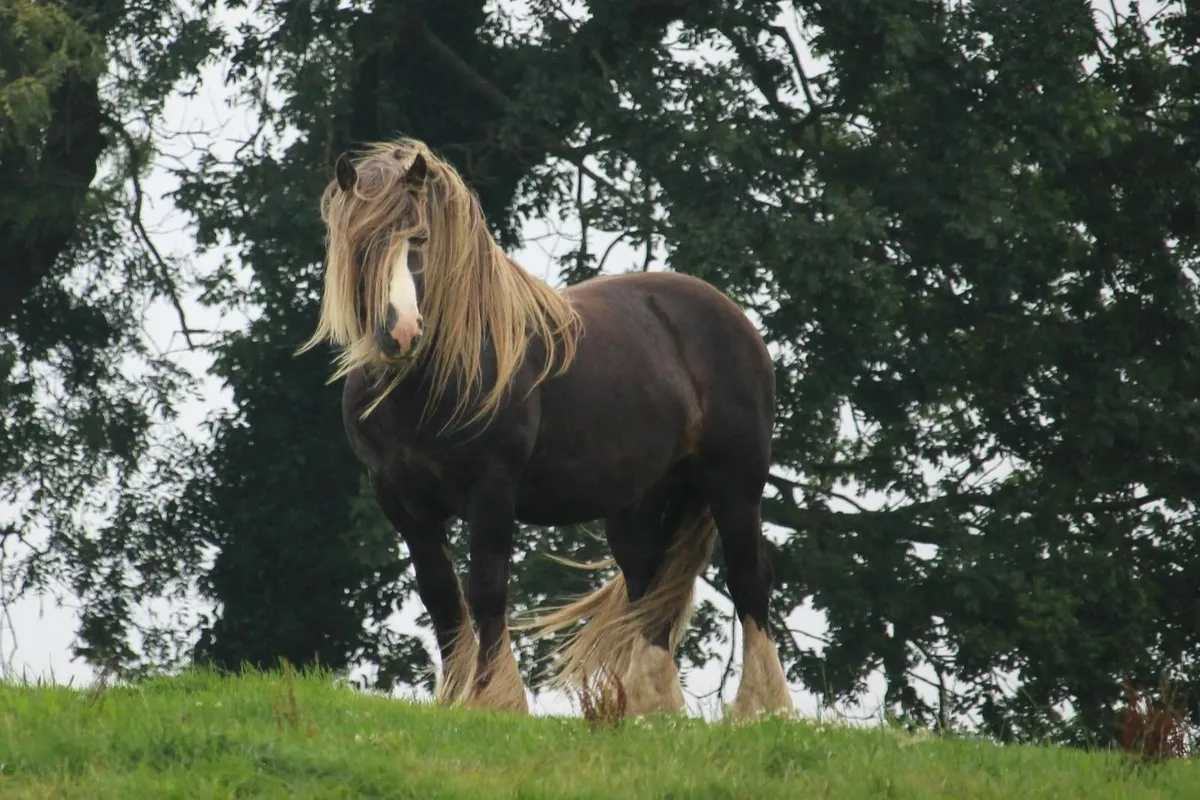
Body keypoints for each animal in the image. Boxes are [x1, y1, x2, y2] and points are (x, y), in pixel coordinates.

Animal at [300, 137, 794, 720]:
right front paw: (457, 697)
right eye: (358, 241)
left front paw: (496, 700)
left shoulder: (492, 489)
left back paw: (762, 709)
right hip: (640, 502)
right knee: (649, 588)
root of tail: (735, 319)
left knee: (748, 578)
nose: (399, 331)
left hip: (734, 481)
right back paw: (652, 710)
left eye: (419, 238)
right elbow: (441, 596)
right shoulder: (401, 500)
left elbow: (487, 589)